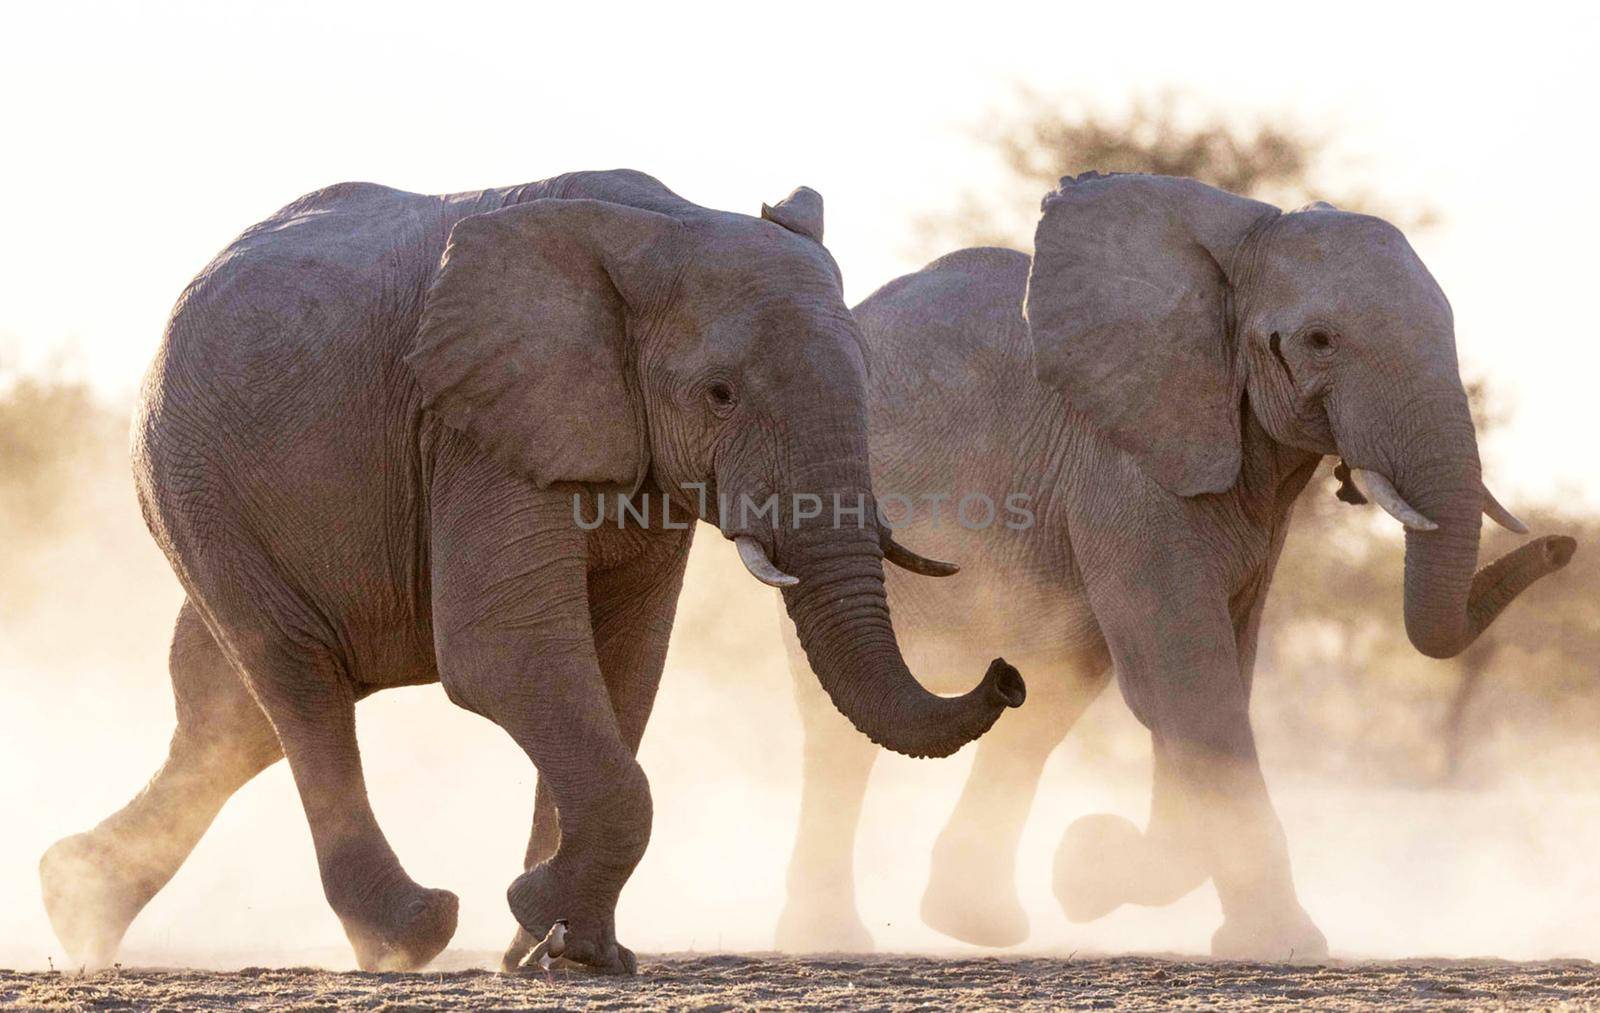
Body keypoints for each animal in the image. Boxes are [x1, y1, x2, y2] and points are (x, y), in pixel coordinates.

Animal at [37, 169, 1024, 972]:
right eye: (720, 394)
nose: (1007, 674)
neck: (662, 225)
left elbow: (619, 669)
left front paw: (565, 949)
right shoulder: (481, 425)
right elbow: (507, 655)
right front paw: (543, 922)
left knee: (231, 717)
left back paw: (72, 899)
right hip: (194, 484)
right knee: (299, 685)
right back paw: (407, 936)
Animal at [774, 172, 1574, 953]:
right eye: (1319, 340)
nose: (1564, 544)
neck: (1242, 243)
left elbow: (1207, 678)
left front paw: (1090, 870)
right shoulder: (1123, 464)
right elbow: (1189, 678)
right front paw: (1278, 943)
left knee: (1052, 685)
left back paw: (973, 922)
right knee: (844, 727)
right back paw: (836, 937)